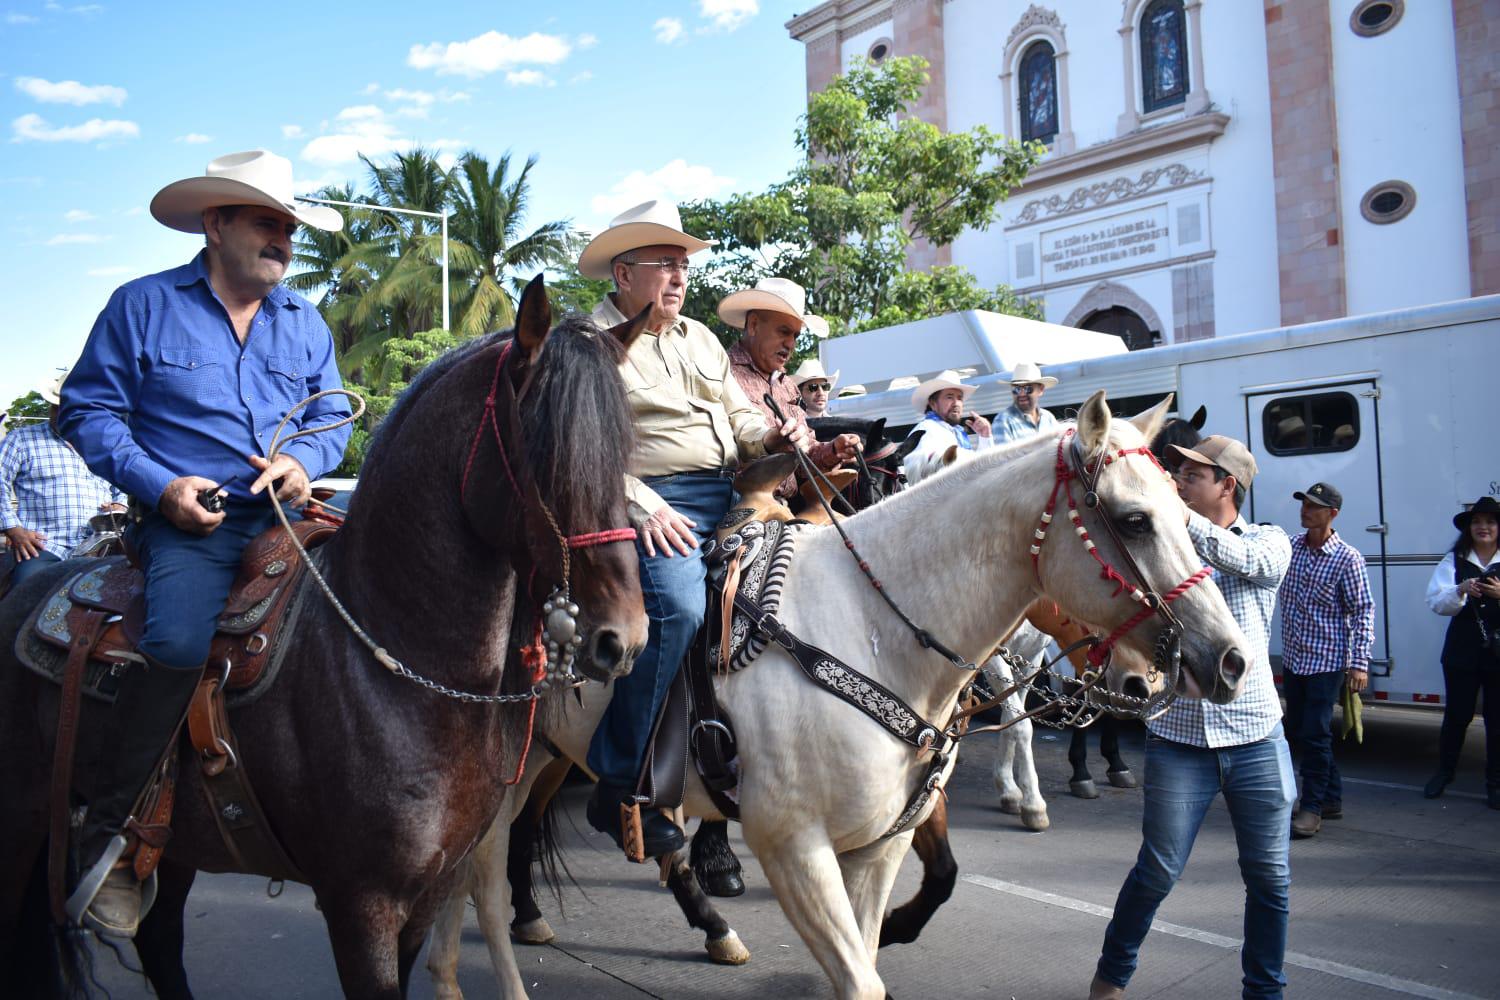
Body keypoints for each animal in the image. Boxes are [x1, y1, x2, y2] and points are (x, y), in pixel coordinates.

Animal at [0, 277, 645, 995]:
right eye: (547, 451)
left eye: (624, 452)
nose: (623, 637)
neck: (398, 664)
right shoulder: (360, 903)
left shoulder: (427, 892)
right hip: (23, 820)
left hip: (171, 841)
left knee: (159, 937)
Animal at [426, 392, 1254, 1000]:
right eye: (1133, 520)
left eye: (1185, 514)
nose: (1230, 660)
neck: (870, 626)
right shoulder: (793, 847)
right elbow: (861, 977)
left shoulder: (879, 844)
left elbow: (896, 924)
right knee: (485, 879)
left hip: (545, 759)